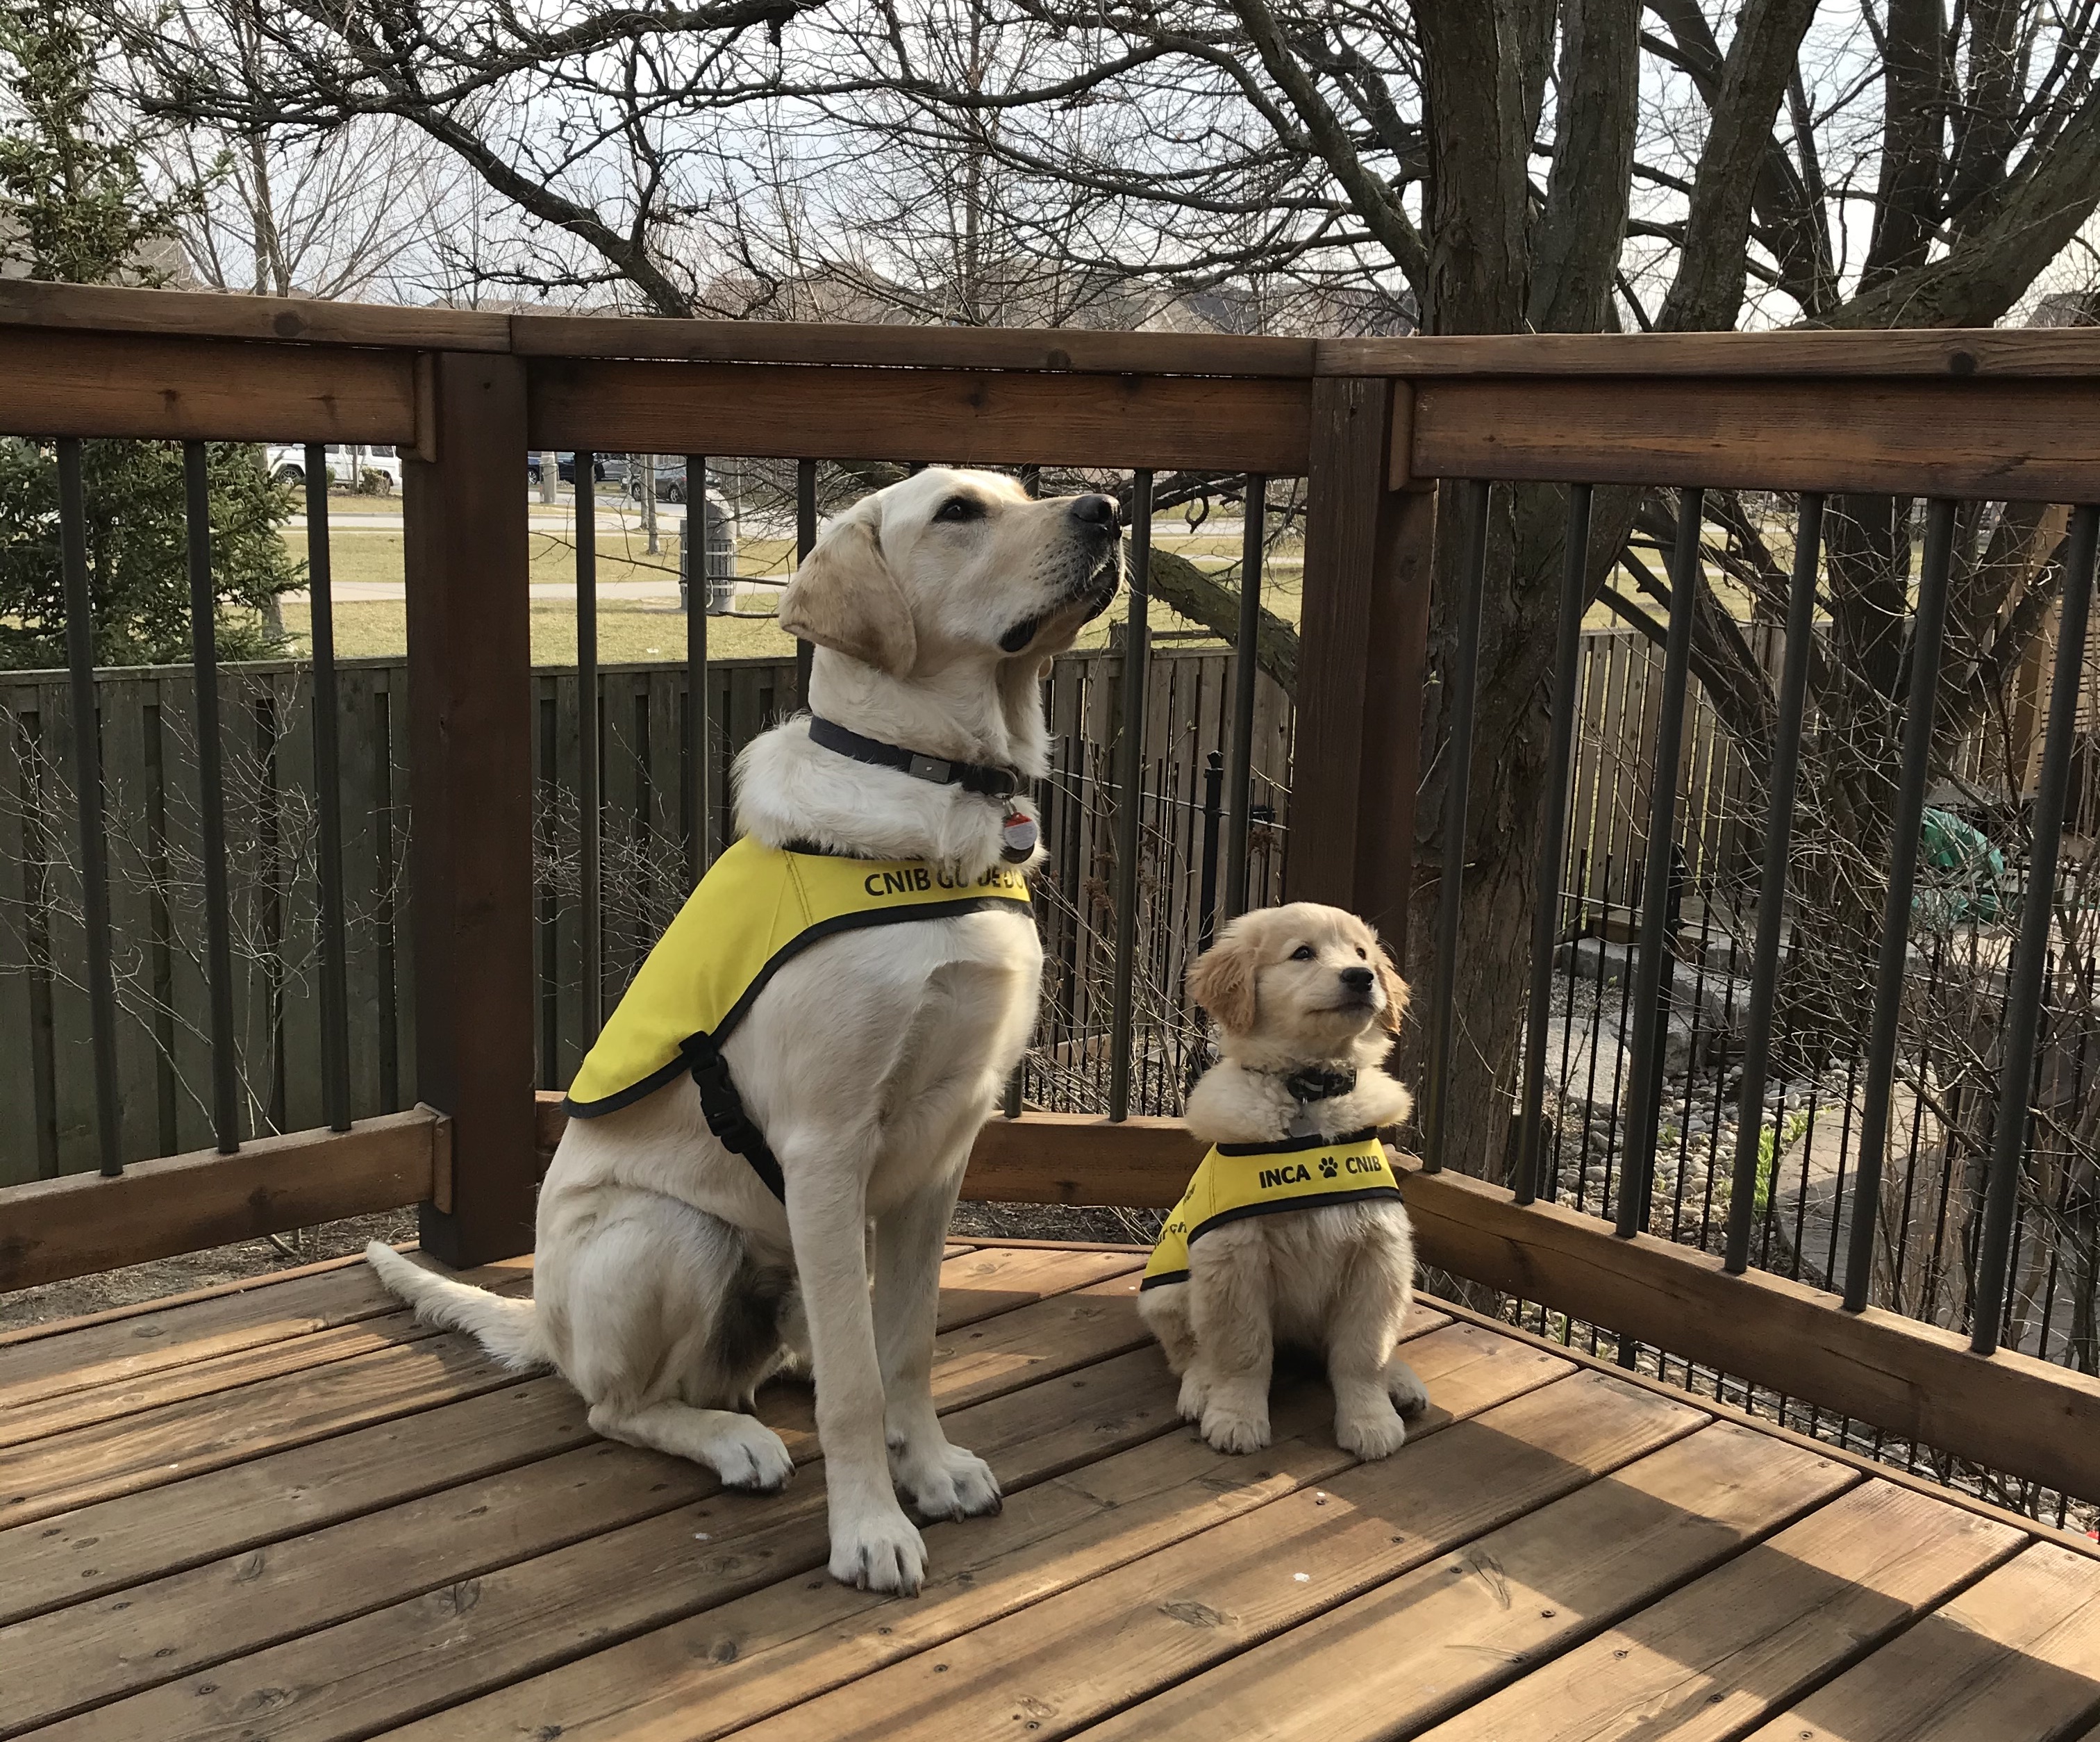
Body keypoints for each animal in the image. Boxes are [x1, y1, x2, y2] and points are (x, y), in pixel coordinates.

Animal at [1151, 903, 1428, 1462]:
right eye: (1303, 953)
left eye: (1362, 953)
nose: (1362, 977)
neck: (1307, 1091)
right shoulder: (1233, 1256)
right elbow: (1243, 1350)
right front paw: (1236, 1417)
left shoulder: (1379, 1253)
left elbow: (1362, 1351)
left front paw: (1370, 1419)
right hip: (1168, 1291)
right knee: (1191, 1351)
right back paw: (1200, 1387)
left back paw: (1399, 1381)